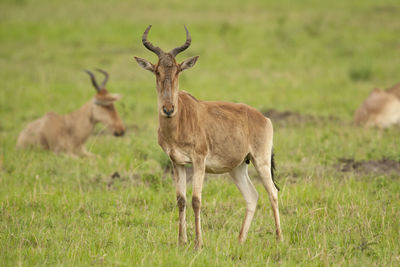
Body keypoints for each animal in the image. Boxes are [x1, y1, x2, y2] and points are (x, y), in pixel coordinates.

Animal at [134, 25, 282, 249]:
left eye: (178, 69)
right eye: (157, 70)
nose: (168, 109)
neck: (181, 119)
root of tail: (263, 118)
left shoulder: (199, 160)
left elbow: (196, 200)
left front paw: (198, 243)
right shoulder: (177, 162)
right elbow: (181, 200)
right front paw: (181, 241)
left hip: (261, 160)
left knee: (272, 193)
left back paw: (279, 239)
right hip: (238, 167)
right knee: (252, 196)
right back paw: (240, 240)